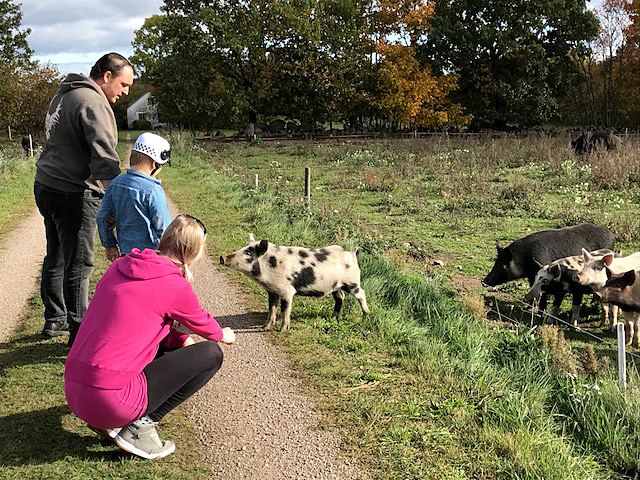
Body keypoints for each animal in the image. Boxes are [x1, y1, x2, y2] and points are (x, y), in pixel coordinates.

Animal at [220, 234, 370, 331]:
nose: (222, 257)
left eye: (249, 253)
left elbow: (285, 310)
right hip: (335, 286)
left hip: (352, 283)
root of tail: (352, 254)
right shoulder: (272, 291)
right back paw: (332, 319)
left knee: (361, 293)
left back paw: (366, 316)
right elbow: (271, 309)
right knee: (340, 297)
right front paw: (265, 327)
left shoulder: (287, 291)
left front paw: (282, 330)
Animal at [483, 223, 615, 288]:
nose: (484, 282)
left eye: (502, 266)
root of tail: (612, 235)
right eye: (495, 262)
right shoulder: (531, 275)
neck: (524, 259)